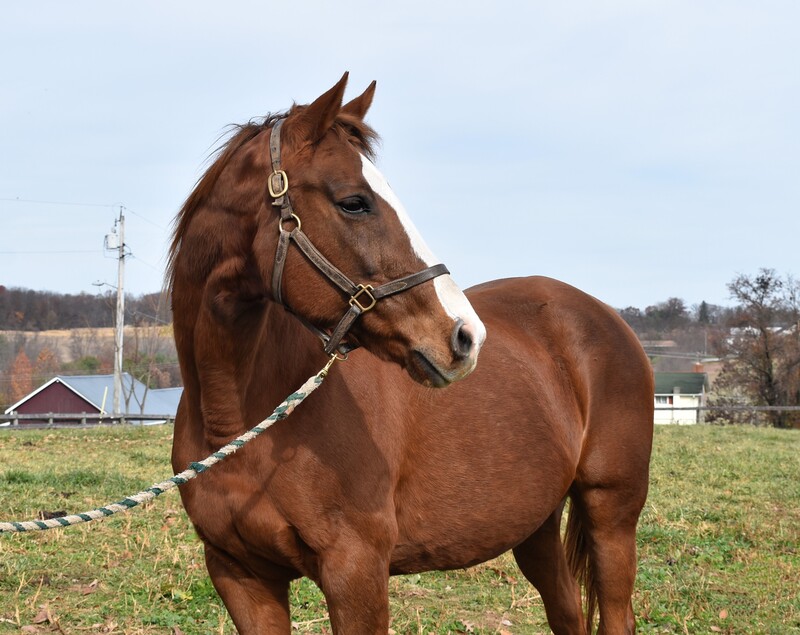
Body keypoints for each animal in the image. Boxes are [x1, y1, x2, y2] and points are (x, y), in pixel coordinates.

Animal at [167, 72, 648, 632]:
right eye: (354, 201)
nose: (465, 336)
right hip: (537, 526)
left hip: (611, 515)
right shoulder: (241, 576)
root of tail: (606, 317)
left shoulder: (356, 572)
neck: (242, 422)